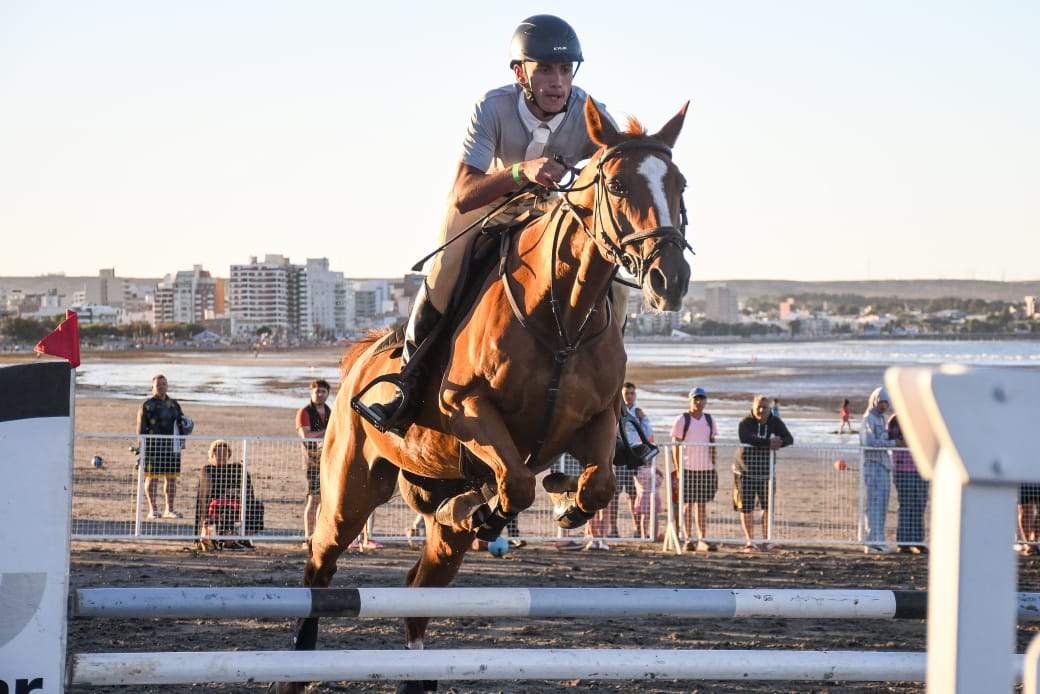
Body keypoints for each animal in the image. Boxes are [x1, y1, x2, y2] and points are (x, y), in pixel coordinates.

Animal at [274, 98, 690, 694]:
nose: (669, 279)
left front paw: (564, 500)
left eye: (679, 184)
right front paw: (494, 513)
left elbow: (600, 483)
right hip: (349, 490)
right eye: (616, 185)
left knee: (420, 584)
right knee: (321, 567)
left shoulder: (599, 417)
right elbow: (516, 484)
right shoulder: (468, 409)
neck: (560, 315)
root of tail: (360, 360)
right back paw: (299, 664)